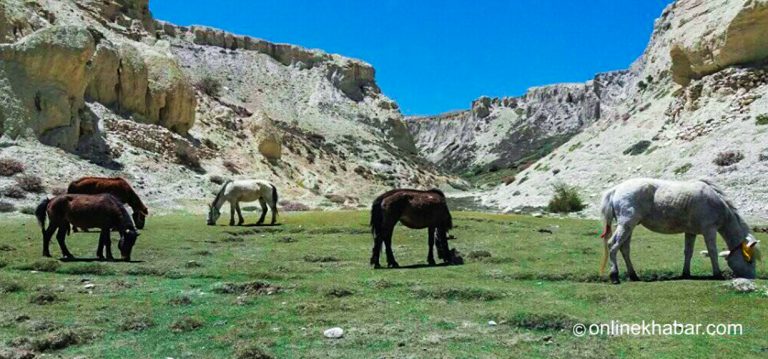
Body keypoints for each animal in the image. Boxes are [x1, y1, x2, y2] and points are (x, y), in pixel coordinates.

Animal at [600, 179, 756, 286]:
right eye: (749, 260)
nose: (752, 277)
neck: (718, 204)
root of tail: (616, 189)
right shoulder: (709, 230)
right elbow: (712, 251)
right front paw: (717, 274)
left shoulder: (691, 232)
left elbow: (688, 252)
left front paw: (686, 273)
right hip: (626, 225)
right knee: (613, 245)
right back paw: (614, 276)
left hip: (629, 227)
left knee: (624, 249)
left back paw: (634, 276)